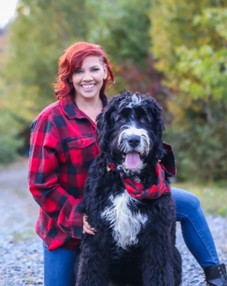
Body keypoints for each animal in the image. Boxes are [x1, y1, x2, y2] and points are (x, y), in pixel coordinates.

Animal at [75, 92, 182, 286]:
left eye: (144, 119)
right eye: (120, 118)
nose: (133, 139)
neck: (125, 180)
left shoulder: (157, 237)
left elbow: (159, 273)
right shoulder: (96, 235)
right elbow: (91, 272)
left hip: (175, 256)